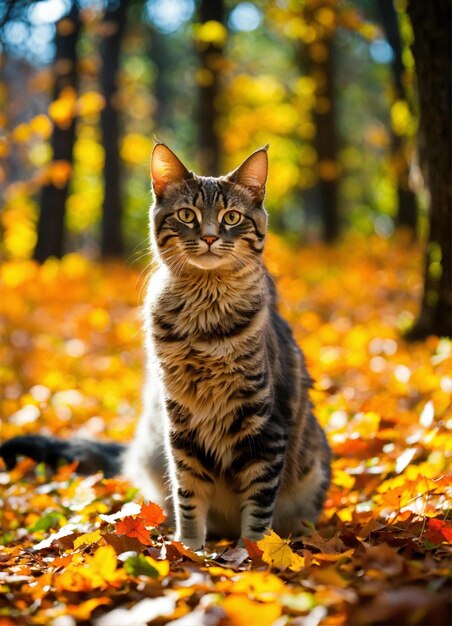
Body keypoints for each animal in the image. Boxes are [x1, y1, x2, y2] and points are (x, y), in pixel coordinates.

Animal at [0, 144, 332, 548]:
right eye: (187, 215)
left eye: (231, 217)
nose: (209, 237)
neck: (205, 324)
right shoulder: (181, 421)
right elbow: (188, 496)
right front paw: (188, 550)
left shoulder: (264, 423)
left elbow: (258, 507)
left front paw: (252, 553)